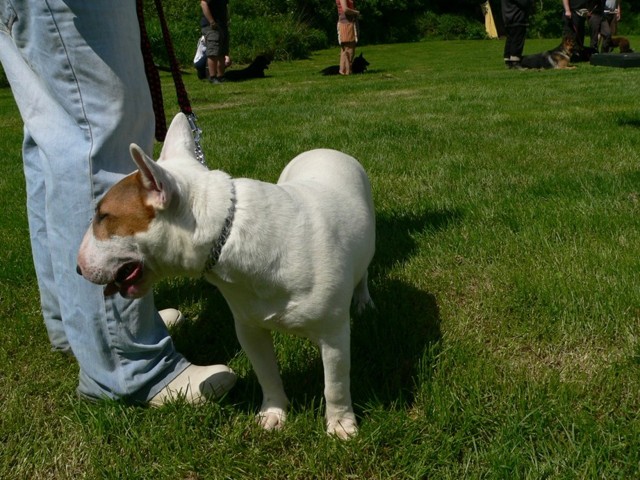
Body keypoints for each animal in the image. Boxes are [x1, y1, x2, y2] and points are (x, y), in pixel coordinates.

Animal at [76, 113, 376, 439]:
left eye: (104, 216)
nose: (77, 267)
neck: (228, 232)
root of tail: (325, 150)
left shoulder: (334, 335)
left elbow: (335, 383)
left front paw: (341, 425)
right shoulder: (249, 329)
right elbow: (267, 373)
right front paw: (273, 413)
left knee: (363, 272)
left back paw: (363, 301)